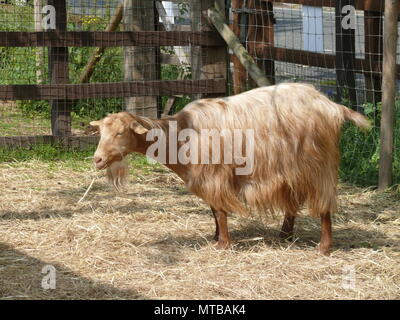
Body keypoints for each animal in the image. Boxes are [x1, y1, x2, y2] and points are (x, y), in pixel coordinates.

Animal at [90, 82, 368, 255]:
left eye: (120, 132)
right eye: (101, 133)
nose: (98, 159)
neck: (180, 135)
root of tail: (331, 106)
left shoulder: (215, 176)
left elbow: (220, 211)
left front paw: (222, 244)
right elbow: (214, 210)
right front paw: (215, 237)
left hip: (317, 165)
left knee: (324, 205)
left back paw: (323, 247)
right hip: (293, 169)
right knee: (294, 201)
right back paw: (285, 235)